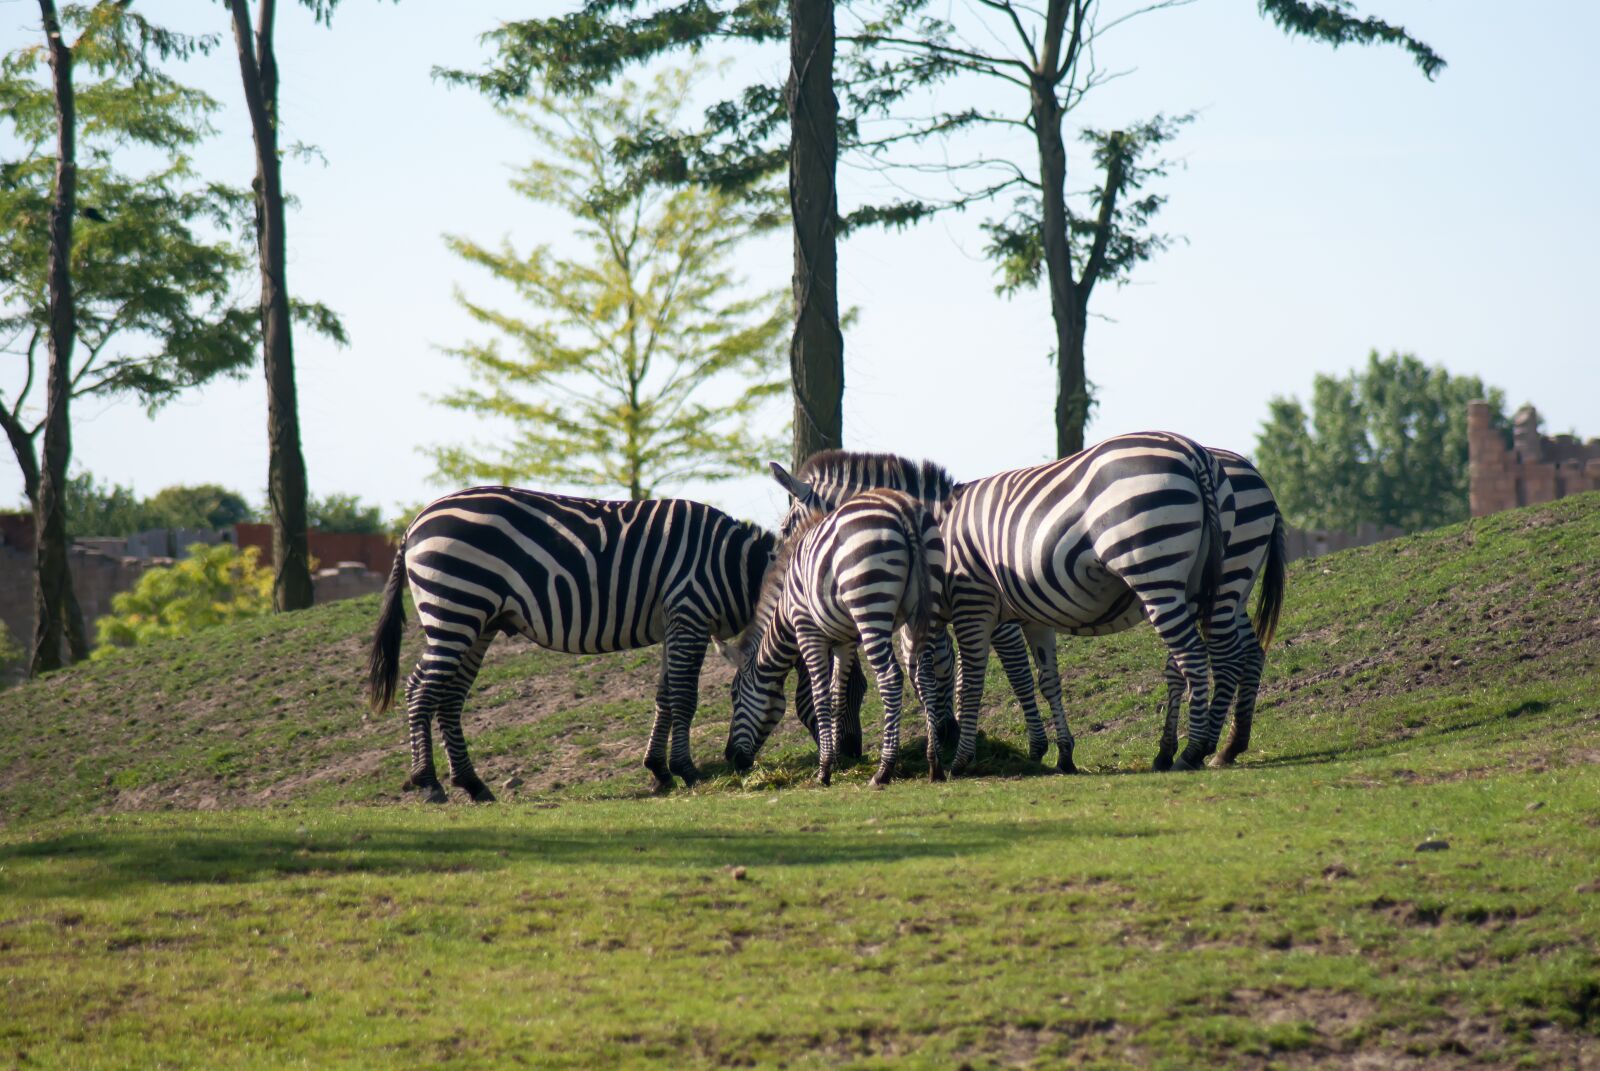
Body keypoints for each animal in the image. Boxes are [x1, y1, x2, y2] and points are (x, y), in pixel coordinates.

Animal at [367, 487, 775, 801]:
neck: (736, 567)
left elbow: (665, 696)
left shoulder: (674, 623)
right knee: (420, 690)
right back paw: (429, 784)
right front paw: (686, 770)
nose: (739, 763)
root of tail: (415, 522)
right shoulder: (690, 613)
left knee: (449, 698)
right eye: (734, 696)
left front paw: (659, 771)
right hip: (455, 609)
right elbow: (684, 697)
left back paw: (473, 784)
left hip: (476, 622)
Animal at [724, 488, 944, 786]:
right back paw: (935, 764)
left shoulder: (807, 632)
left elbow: (820, 696)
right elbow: (837, 694)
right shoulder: (845, 640)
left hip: (870, 605)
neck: (784, 608)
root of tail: (903, 508)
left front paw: (824, 769)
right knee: (926, 675)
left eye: (734, 696)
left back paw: (884, 770)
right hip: (926, 606)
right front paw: (837, 756)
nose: (730, 757)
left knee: (890, 677)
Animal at [936, 447, 1287, 772]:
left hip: (1177, 573)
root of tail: (1197, 456)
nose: (942, 738)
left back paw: (1194, 751)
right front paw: (1060, 754)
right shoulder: (1032, 615)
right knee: (1244, 650)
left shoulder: (983, 608)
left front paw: (976, 756)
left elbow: (989, 679)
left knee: (1208, 655)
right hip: (1228, 584)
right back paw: (1225, 746)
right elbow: (1044, 679)